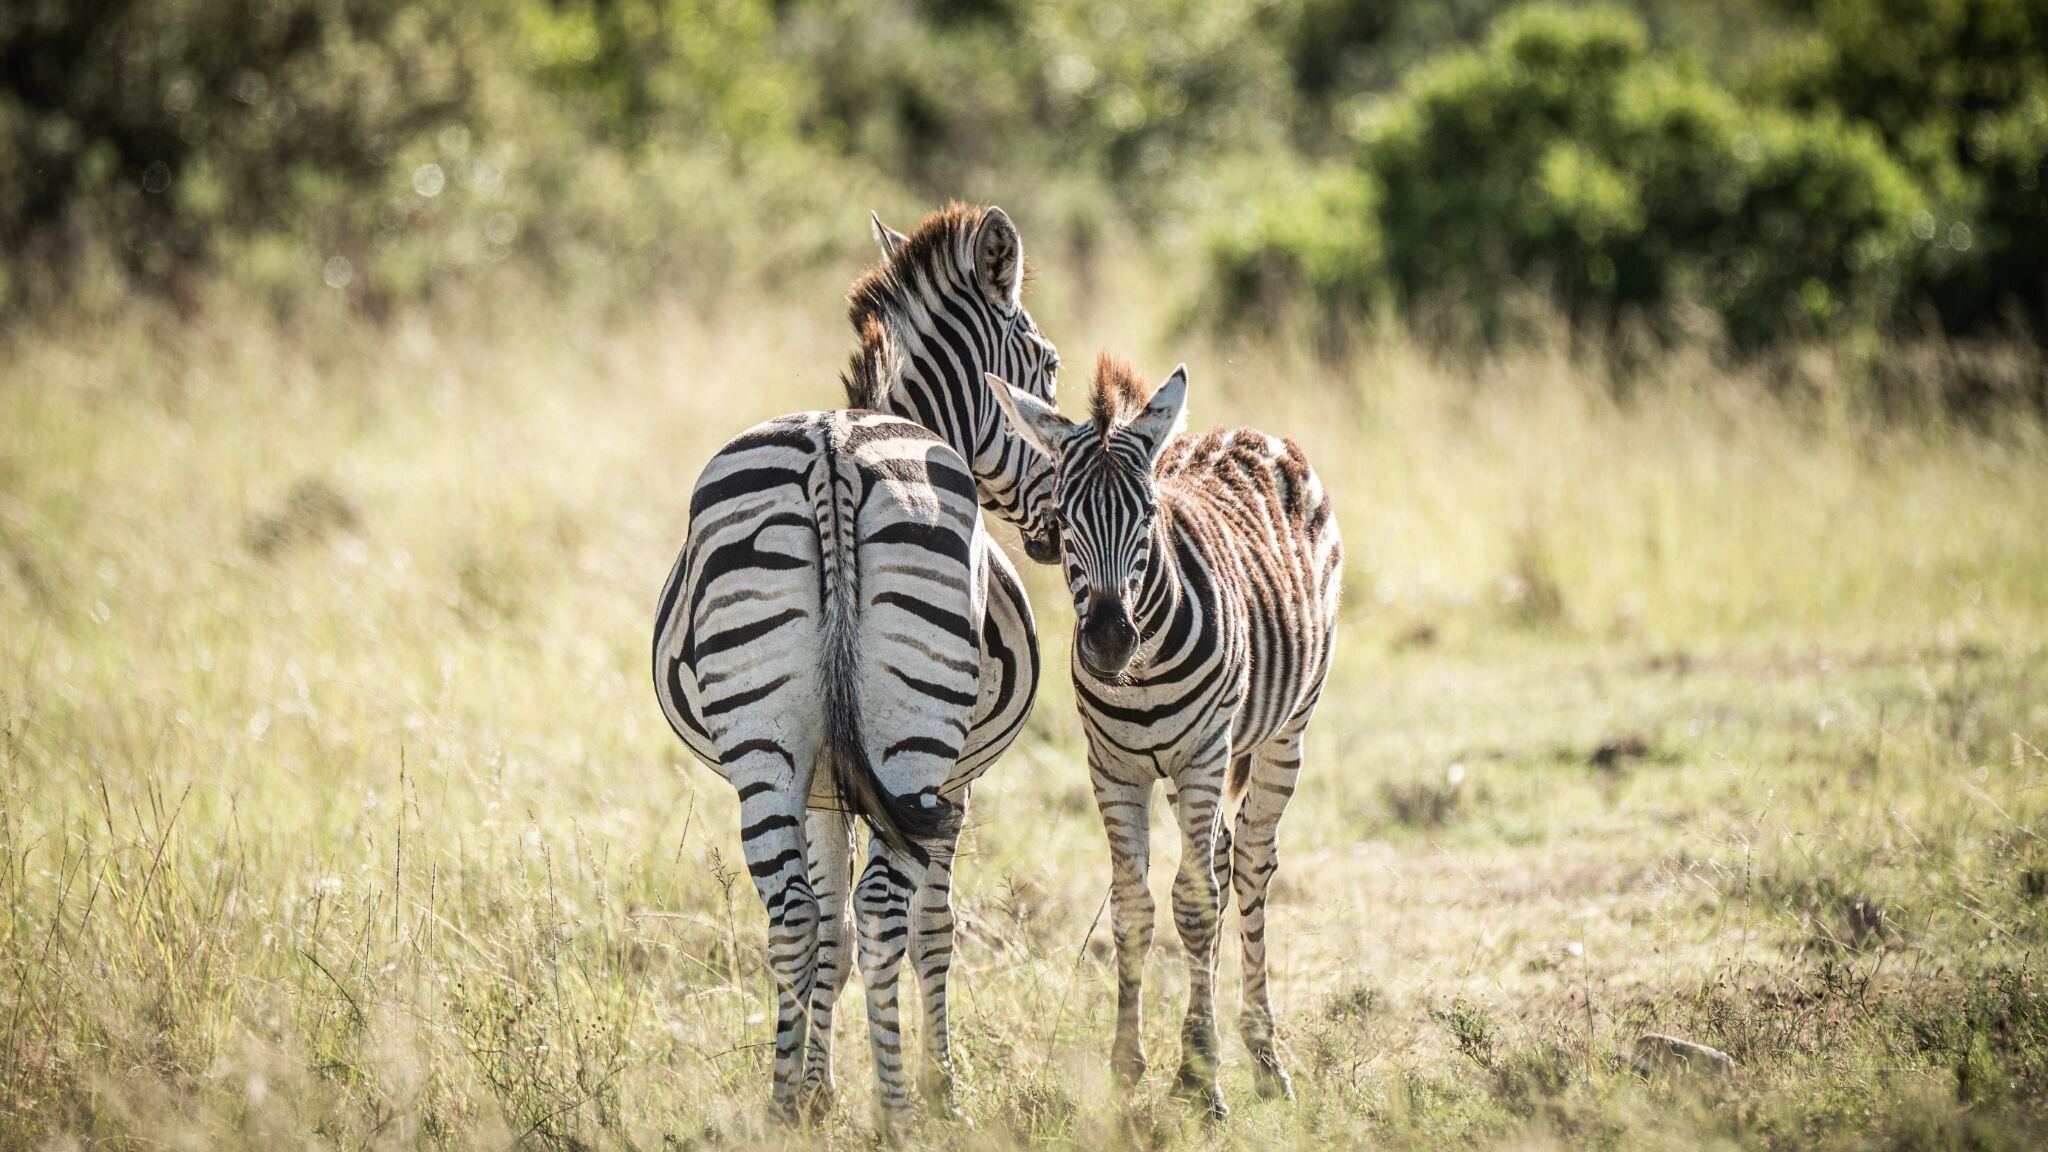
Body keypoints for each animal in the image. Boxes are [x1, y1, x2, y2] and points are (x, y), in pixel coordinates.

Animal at [651, 203, 1073, 1123]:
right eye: (1051, 369)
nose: (1061, 530)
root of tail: (831, 451)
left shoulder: (821, 785)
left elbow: (828, 936)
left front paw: (817, 1091)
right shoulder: (951, 785)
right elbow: (930, 931)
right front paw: (941, 1087)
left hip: (764, 744)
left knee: (791, 918)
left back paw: (780, 1106)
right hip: (914, 746)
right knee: (883, 914)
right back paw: (900, 1111)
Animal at [978, 352, 1343, 1115]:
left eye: (1147, 516)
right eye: (1063, 518)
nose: (1110, 641)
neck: (1140, 674)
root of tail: (1246, 431)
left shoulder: (1203, 755)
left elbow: (1195, 906)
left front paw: (1199, 1077)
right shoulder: (1114, 768)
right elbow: (1133, 908)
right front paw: (1129, 1065)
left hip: (1282, 731)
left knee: (1250, 865)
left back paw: (1263, 1058)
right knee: (1223, 860)